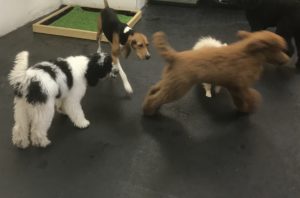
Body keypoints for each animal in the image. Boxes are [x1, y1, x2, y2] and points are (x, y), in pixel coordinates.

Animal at [143, 30, 290, 115]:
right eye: (278, 49)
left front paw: (243, 109)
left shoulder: (234, 87)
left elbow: (239, 100)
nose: (287, 59)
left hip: (170, 81)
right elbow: (250, 97)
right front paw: (251, 107)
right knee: (156, 98)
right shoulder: (240, 87)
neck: (248, 55)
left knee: (155, 89)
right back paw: (148, 110)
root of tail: (175, 56)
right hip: (177, 88)